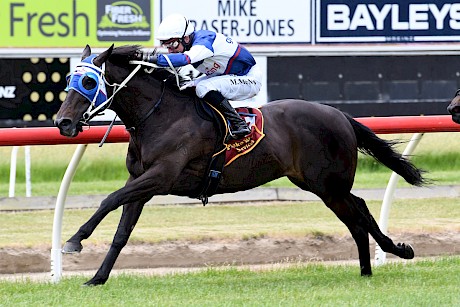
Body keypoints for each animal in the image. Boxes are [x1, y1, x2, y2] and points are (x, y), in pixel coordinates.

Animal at [55, 45, 426, 286]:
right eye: (69, 80)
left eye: (88, 82)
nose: (63, 122)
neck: (159, 116)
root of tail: (340, 115)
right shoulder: (142, 182)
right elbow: (122, 231)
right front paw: (97, 277)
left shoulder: (160, 176)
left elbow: (109, 199)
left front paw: (74, 240)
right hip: (321, 185)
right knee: (357, 215)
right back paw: (369, 268)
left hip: (328, 185)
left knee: (359, 213)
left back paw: (396, 251)